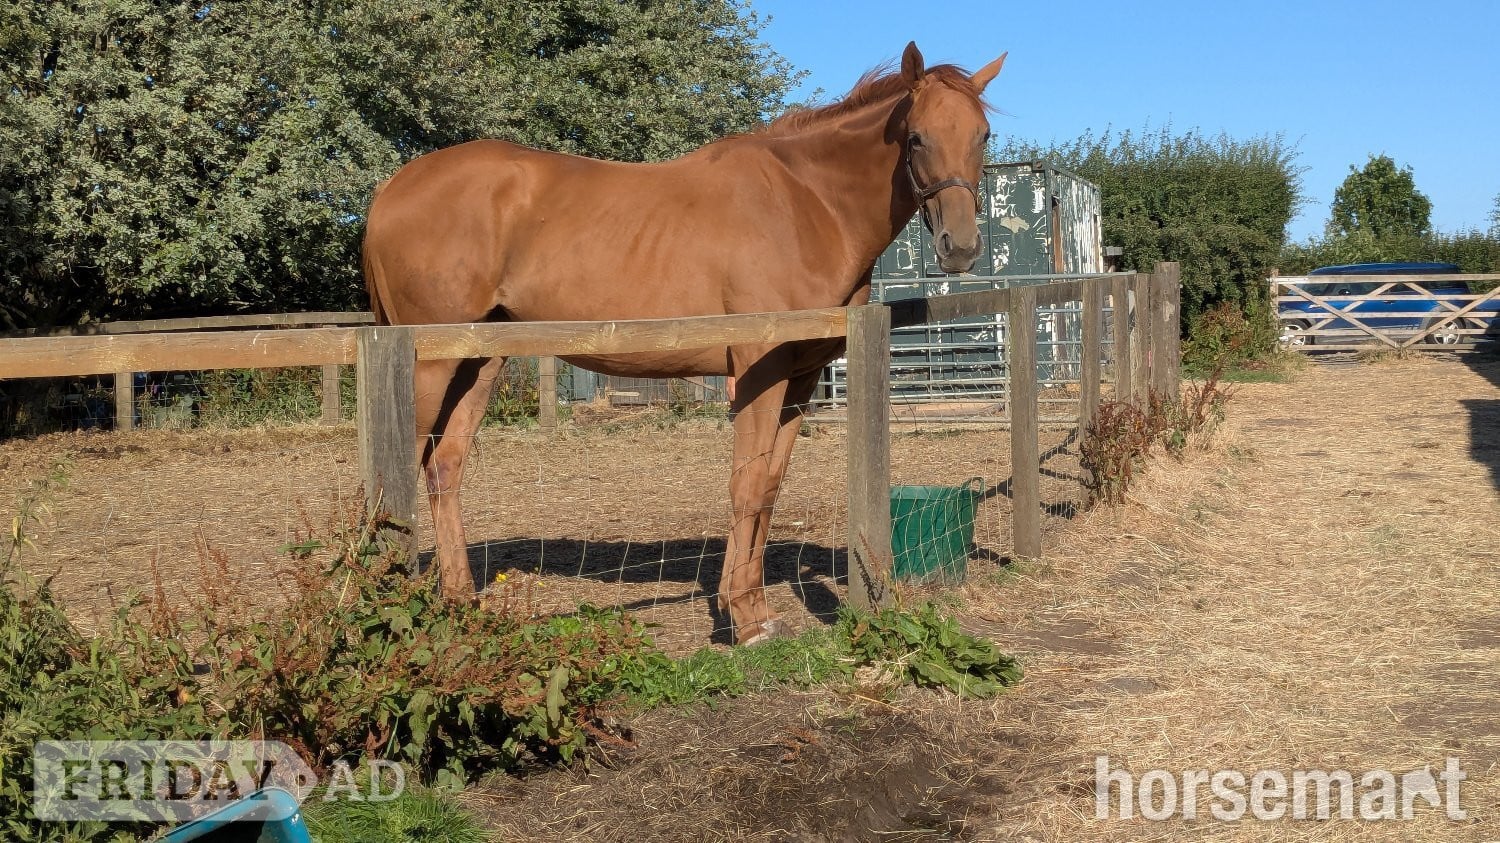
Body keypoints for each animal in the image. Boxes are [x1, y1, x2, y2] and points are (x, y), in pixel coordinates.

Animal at [363, 42, 1004, 645]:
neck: (808, 203)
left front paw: (749, 605)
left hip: (479, 359)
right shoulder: (759, 371)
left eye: (982, 136)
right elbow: (745, 485)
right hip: (429, 366)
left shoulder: (799, 378)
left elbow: (768, 489)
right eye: (916, 137)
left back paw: (458, 599)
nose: (961, 247)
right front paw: (743, 619)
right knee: (398, 474)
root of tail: (390, 190)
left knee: (444, 468)